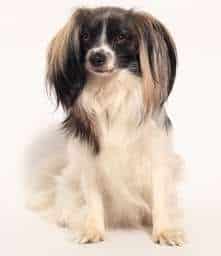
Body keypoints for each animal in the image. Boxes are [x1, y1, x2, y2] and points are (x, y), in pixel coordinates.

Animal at [26, 6, 185, 246]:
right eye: (85, 37)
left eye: (121, 37)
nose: (97, 57)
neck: (110, 89)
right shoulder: (89, 160)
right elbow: (93, 199)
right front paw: (92, 229)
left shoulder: (156, 156)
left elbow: (160, 197)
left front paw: (164, 231)